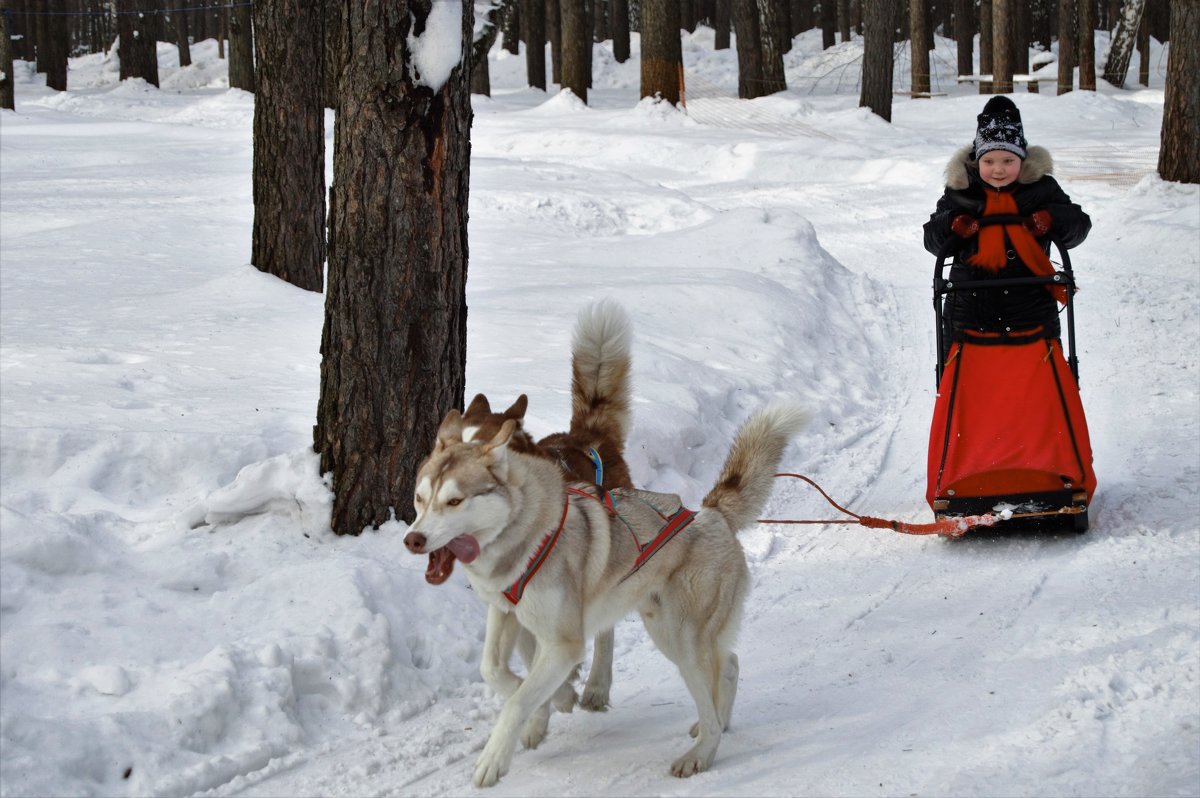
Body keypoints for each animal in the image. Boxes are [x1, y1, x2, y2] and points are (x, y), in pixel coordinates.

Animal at [403, 400, 806, 787]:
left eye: (454, 501)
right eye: (420, 499)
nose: (413, 539)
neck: (525, 537)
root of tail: (709, 513)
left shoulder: (564, 643)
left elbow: (518, 700)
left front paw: (494, 758)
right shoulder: (507, 613)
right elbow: (494, 671)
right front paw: (549, 707)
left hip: (683, 641)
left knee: (712, 685)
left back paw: (700, 753)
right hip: (666, 633)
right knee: (731, 664)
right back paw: (720, 723)